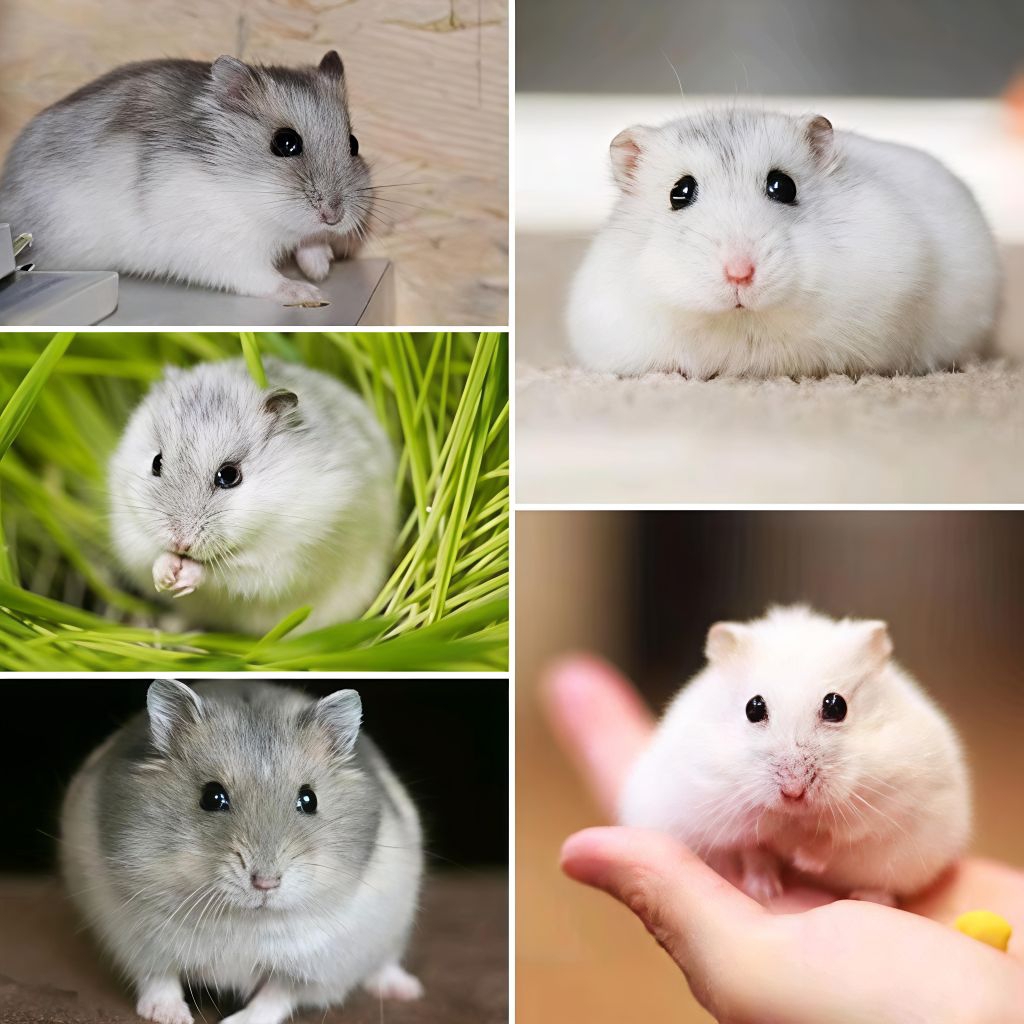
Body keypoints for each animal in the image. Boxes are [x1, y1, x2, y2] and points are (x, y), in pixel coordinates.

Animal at [0, 53, 370, 304]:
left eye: (354, 144)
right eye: (285, 143)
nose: (334, 216)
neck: (247, 195)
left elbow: (308, 240)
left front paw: (320, 267)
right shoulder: (221, 249)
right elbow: (262, 277)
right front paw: (310, 292)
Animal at [61, 680, 423, 1024]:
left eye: (310, 800)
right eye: (212, 797)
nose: (266, 883)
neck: (245, 918)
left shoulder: (312, 969)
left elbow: (276, 996)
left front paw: (236, 1021)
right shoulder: (136, 941)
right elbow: (160, 979)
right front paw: (172, 1016)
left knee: (384, 964)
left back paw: (407, 990)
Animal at [108, 357, 396, 635]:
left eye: (228, 475)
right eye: (156, 463)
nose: (179, 544)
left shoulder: (289, 558)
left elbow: (225, 573)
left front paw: (185, 574)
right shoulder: (131, 537)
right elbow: (151, 556)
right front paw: (166, 576)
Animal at [620, 606, 970, 906]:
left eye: (836, 705)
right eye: (753, 708)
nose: (793, 792)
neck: (795, 818)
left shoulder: (889, 798)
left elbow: (838, 837)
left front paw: (805, 860)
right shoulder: (717, 804)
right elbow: (753, 847)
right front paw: (767, 888)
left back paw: (868, 897)